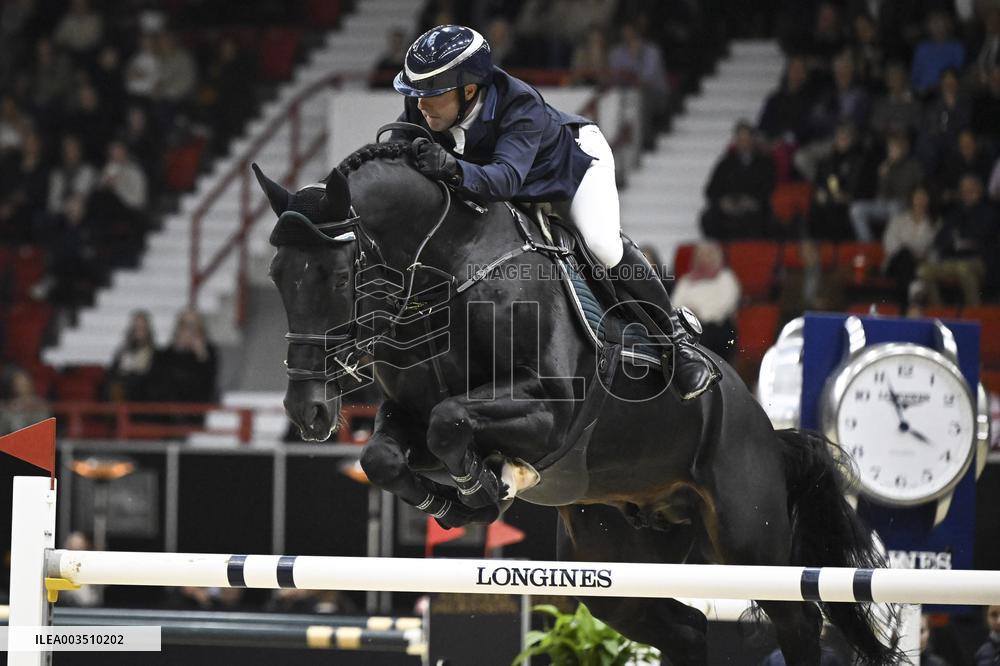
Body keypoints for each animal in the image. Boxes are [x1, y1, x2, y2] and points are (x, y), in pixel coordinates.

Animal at [256, 138, 901, 666]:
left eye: (339, 278)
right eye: (277, 275)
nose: (306, 411)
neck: (446, 266)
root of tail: (767, 428)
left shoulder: (550, 414)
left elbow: (452, 419)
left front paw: (488, 487)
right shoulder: (406, 416)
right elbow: (384, 457)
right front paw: (456, 502)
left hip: (750, 540)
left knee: (799, 621)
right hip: (615, 559)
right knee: (685, 628)